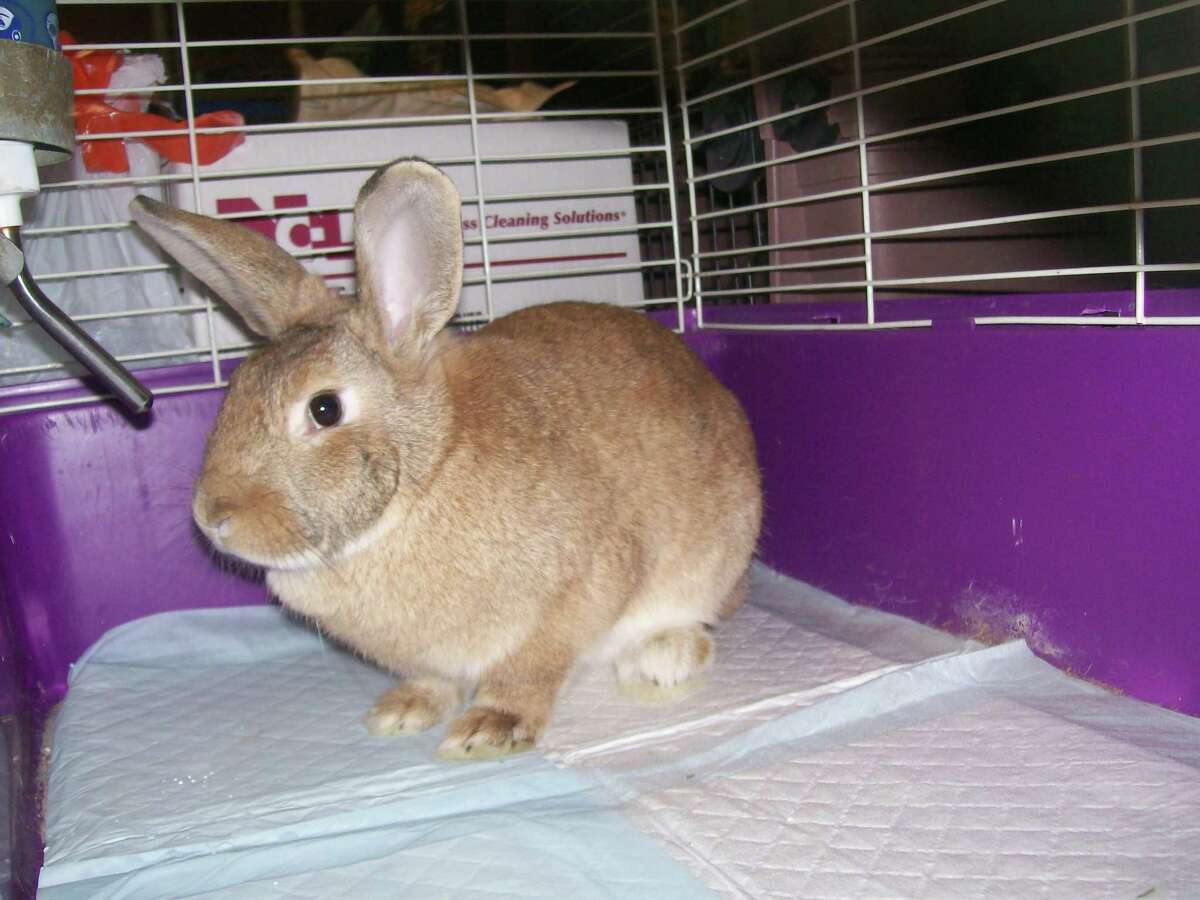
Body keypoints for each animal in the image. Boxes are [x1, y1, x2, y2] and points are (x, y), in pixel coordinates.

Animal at [130, 158, 762, 760]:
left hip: (709, 562)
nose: (213, 516)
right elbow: (435, 679)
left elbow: (531, 669)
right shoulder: (434, 653)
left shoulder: (580, 590)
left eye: (325, 409)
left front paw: (491, 728)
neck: (426, 475)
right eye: (235, 387)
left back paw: (662, 658)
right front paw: (403, 709)